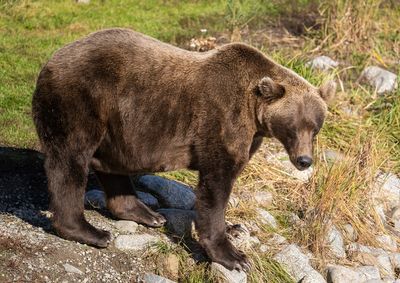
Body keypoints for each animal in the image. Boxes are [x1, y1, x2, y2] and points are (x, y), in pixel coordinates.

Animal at [32, 28, 336, 272]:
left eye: (315, 128)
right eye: (293, 127)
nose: (304, 160)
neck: (255, 112)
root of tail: (51, 60)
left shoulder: (251, 135)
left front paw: (235, 227)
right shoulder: (221, 119)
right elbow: (216, 185)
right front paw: (234, 256)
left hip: (115, 129)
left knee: (109, 164)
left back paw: (148, 214)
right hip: (81, 100)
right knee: (70, 160)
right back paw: (91, 232)